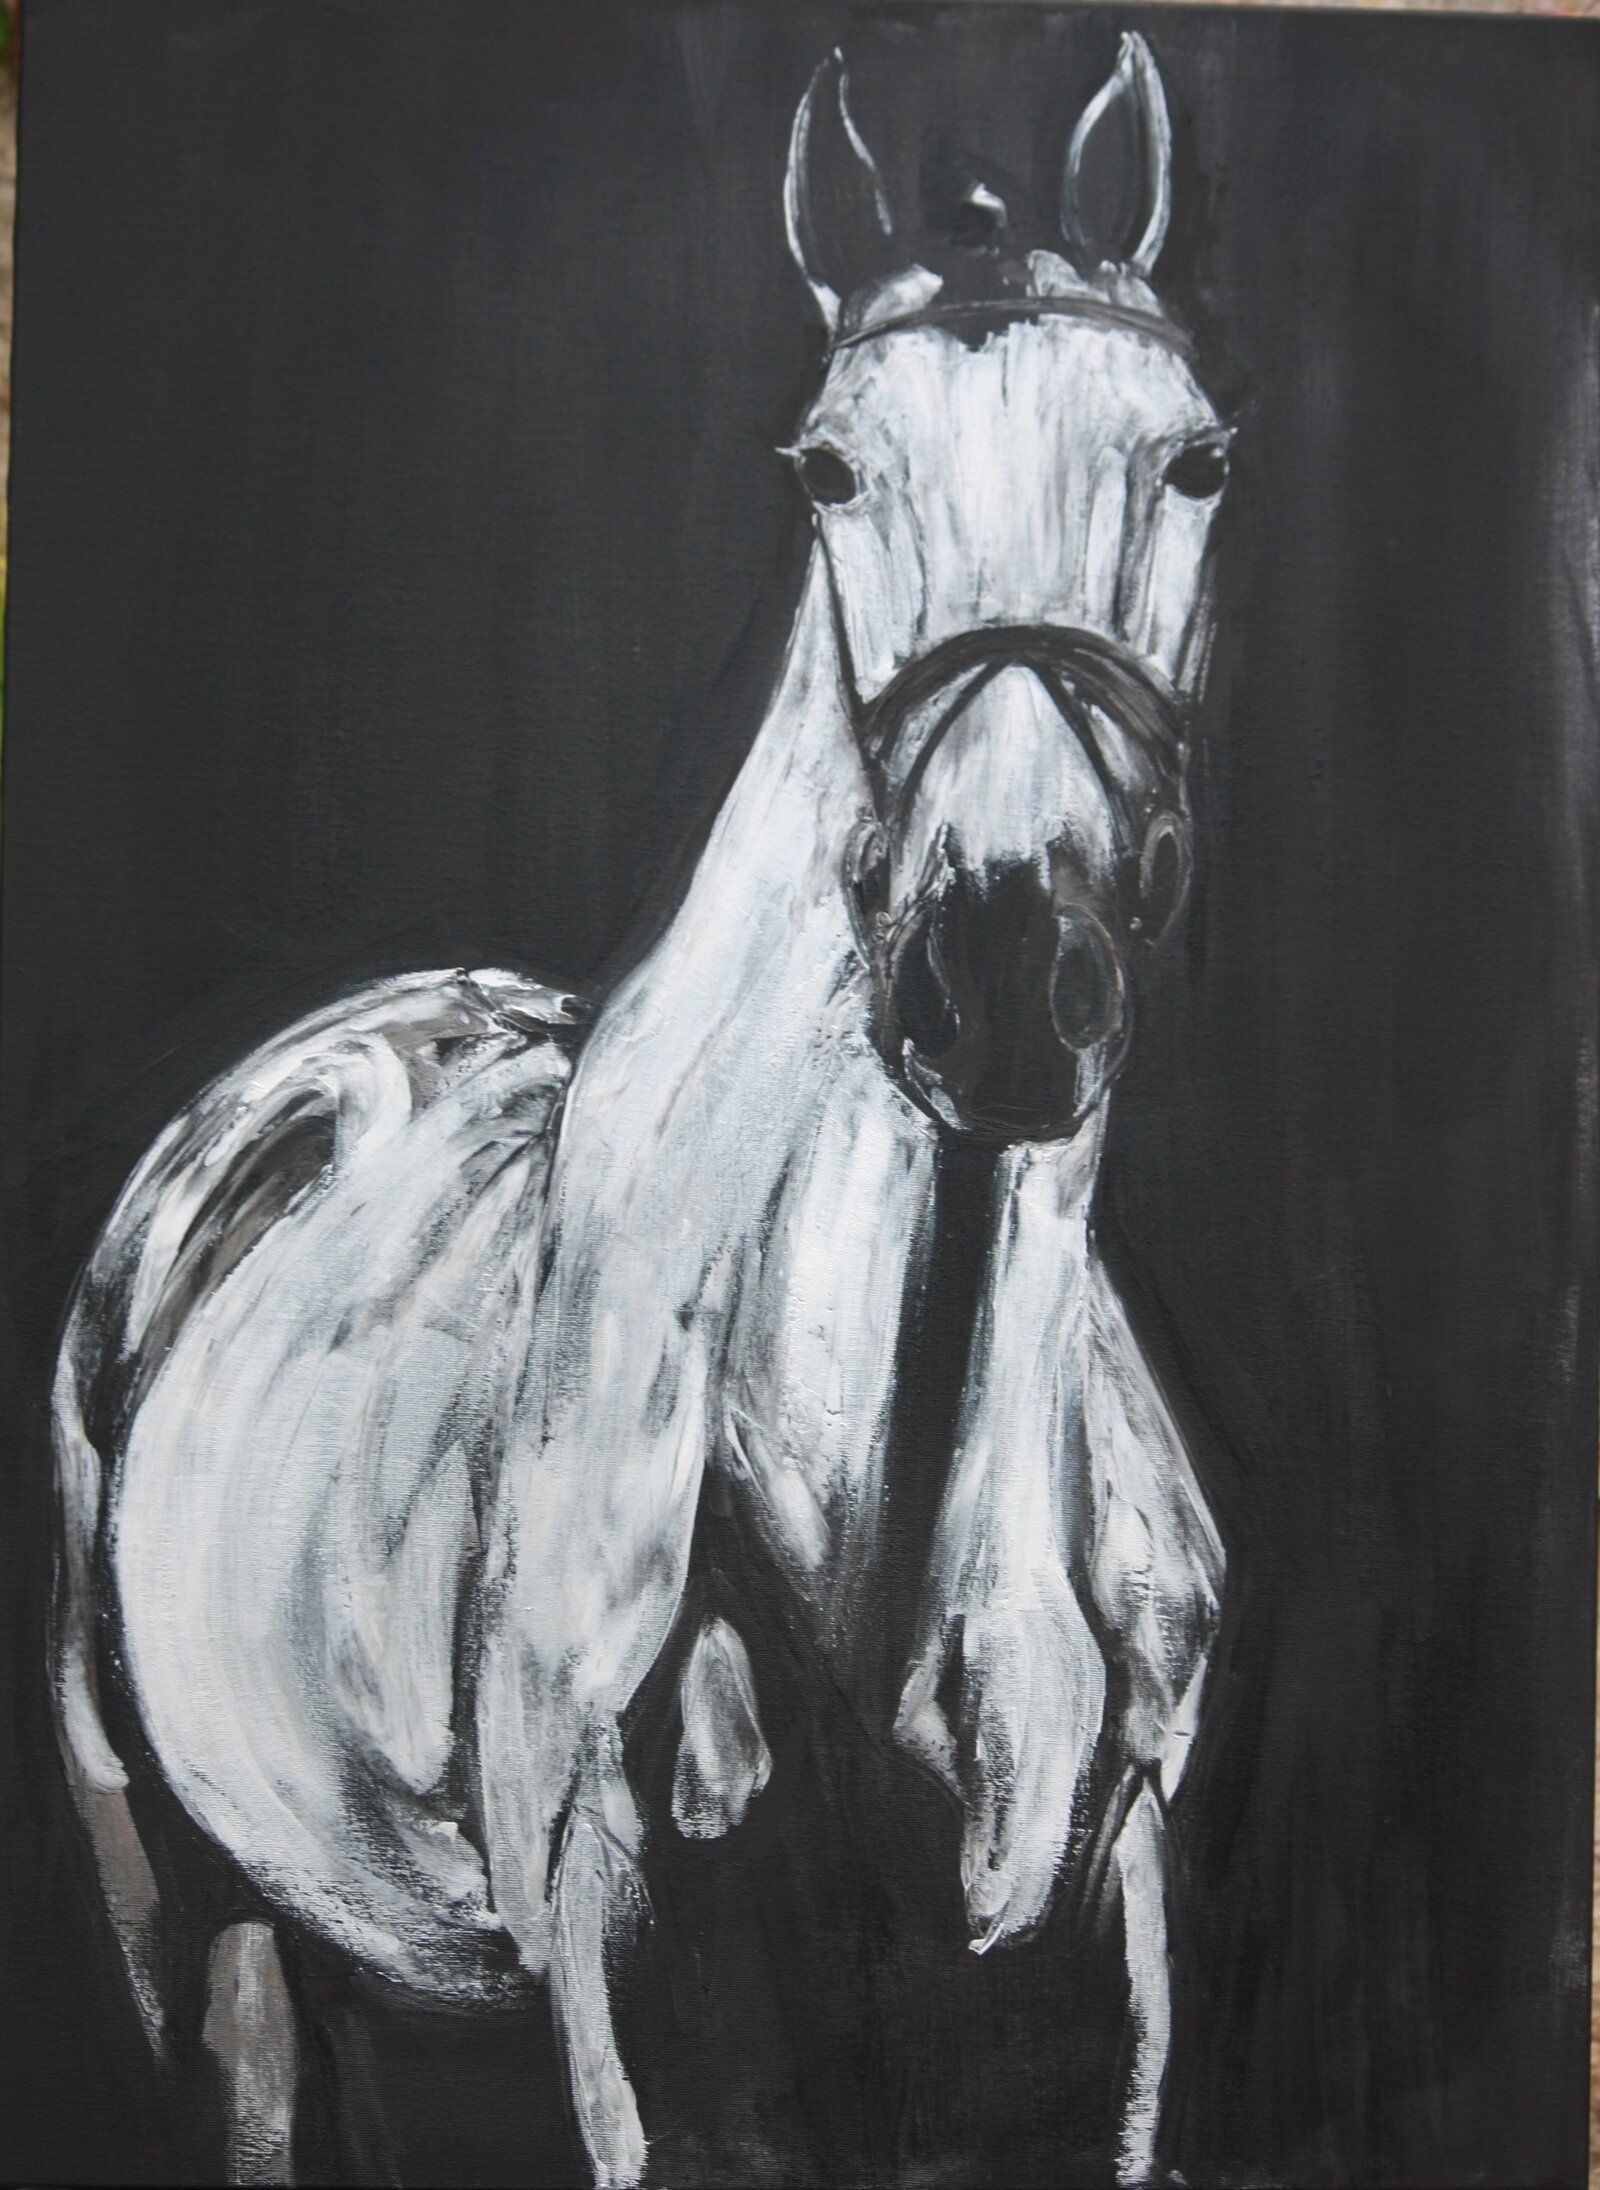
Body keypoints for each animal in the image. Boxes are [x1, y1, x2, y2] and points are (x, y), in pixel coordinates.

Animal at [52, 35, 1227, 2188]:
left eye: (1194, 459)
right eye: (826, 468)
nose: (1004, 976)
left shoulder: (1099, 2000)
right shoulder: (635, 2016)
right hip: (180, 1904)